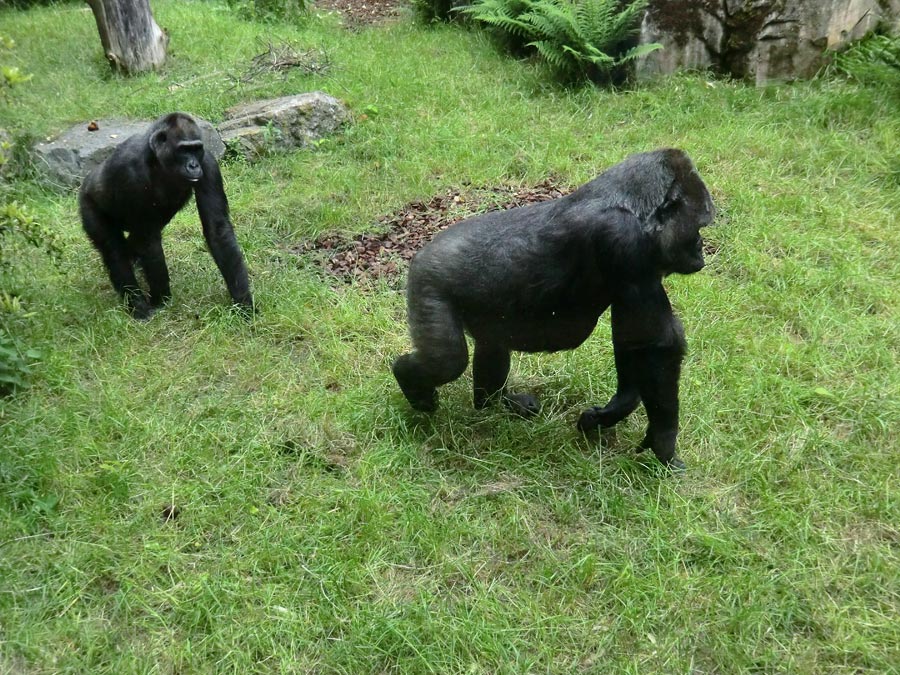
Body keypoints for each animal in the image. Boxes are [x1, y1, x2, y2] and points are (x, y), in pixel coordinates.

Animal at [79, 113, 253, 320]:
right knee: (113, 249)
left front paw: (243, 302)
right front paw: (160, 300)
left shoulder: (208, 163)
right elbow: (148, 242)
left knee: (131, 243)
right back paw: (137, 304)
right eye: (184, 150)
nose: (193, 165)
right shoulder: (129, 170)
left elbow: (217, 229)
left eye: (196, 149)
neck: (158, 160)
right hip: (87, 202)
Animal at [394, 149, 716, 470]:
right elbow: (654, 345)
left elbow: (634, 342)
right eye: (699, 226)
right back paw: (409, 379)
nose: (700, 249)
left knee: (491, 346)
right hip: (428, 282)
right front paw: (663, 440)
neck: (633, 205)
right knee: (447, 360)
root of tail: (422, 251)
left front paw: (614, 410)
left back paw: (495, 403)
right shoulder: (625, 243)